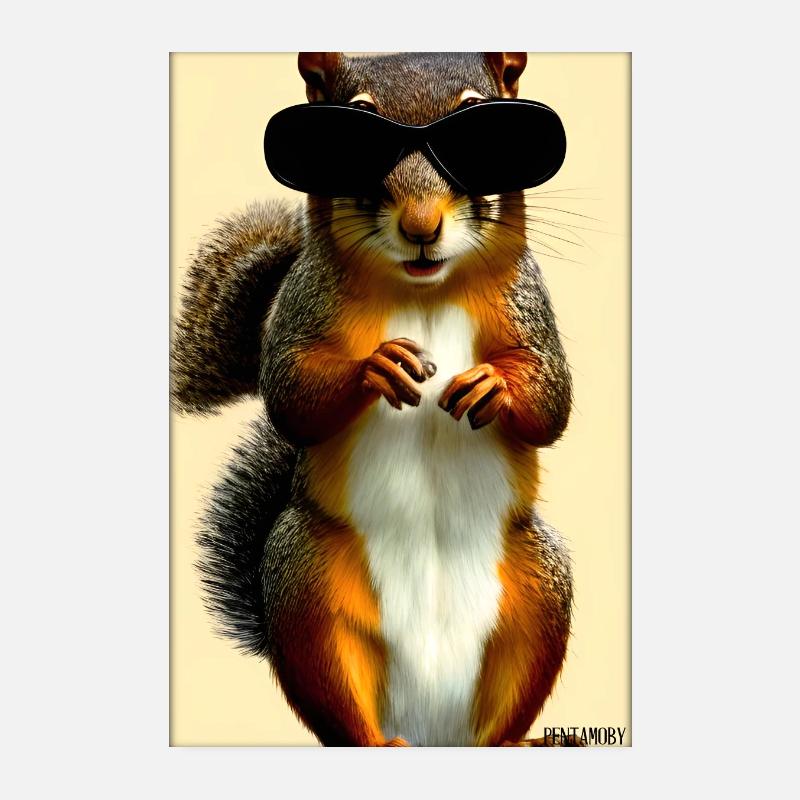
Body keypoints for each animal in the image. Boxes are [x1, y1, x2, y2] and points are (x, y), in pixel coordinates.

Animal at [171, 52, 575, 747]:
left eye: (484, 129)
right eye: (345, 138)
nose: (421, 226)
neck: (424, 288)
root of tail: (431, 726)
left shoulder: (528, 301)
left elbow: (552, 397)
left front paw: (492, 384)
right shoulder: (307, 300)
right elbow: (292, 393)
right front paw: (377, 366)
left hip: (542, 588)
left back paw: (511, 741)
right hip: (308, 590)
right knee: (335, 700)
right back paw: (377, 740)